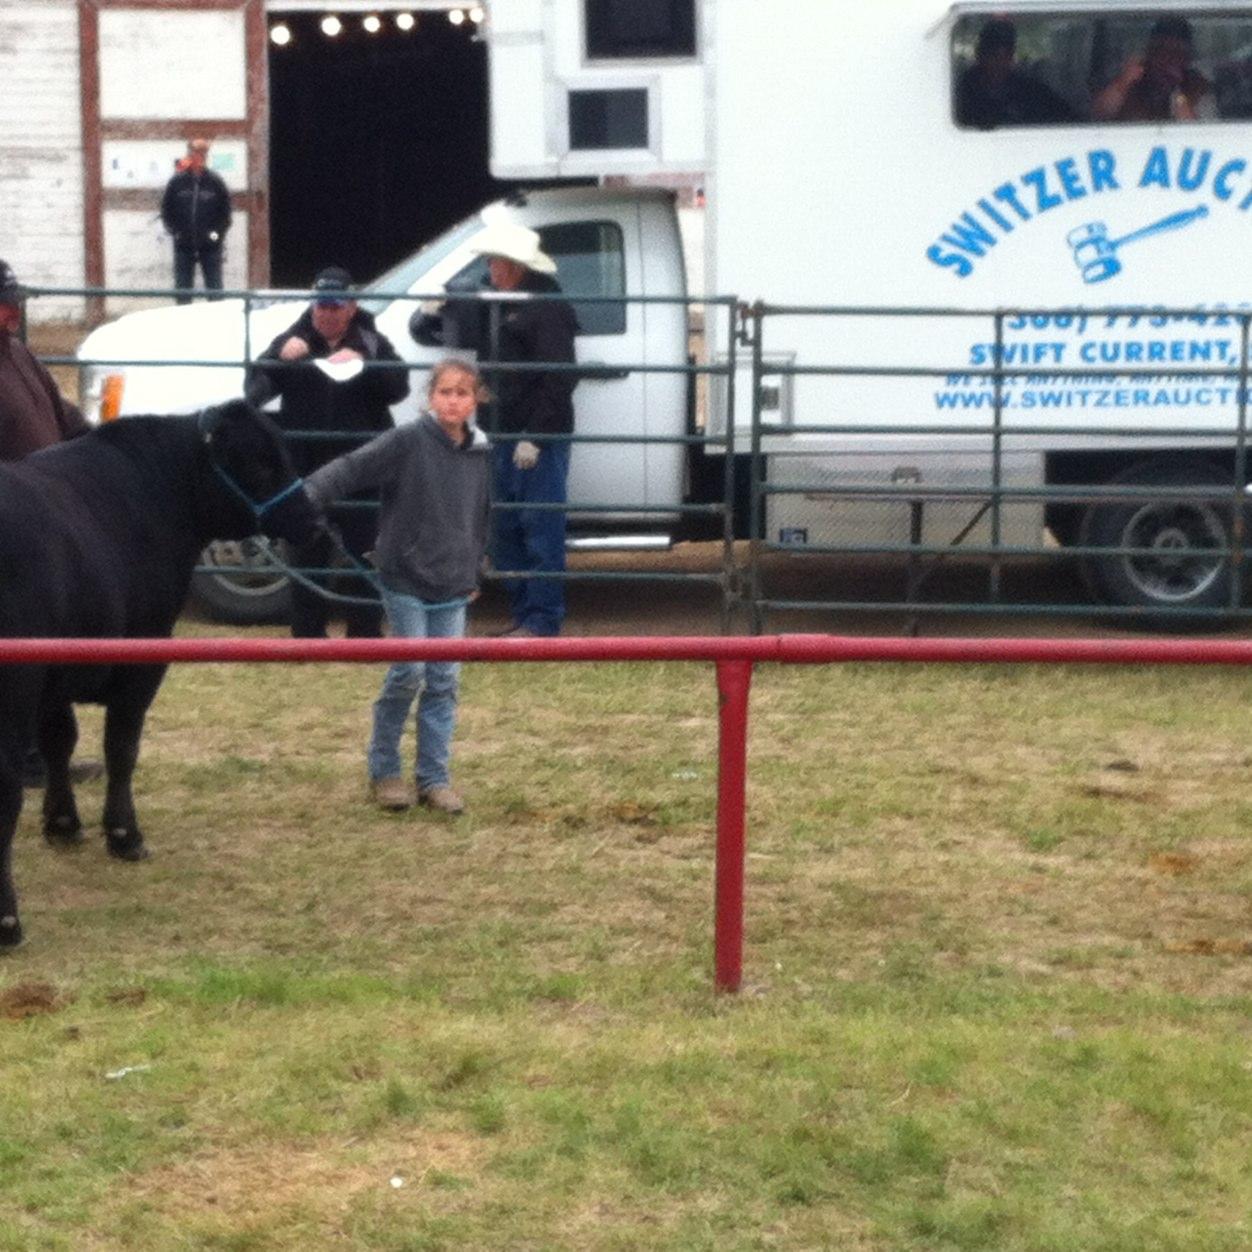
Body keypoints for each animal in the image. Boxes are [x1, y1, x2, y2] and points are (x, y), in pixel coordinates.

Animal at [0, 403, 320, 946]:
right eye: (262, 463)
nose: (314, 519)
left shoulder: (57, 678)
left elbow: (61, 742)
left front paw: (63, 824)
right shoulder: (141, 664)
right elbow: (122, 748)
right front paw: (125, 836)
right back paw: (9, 922)